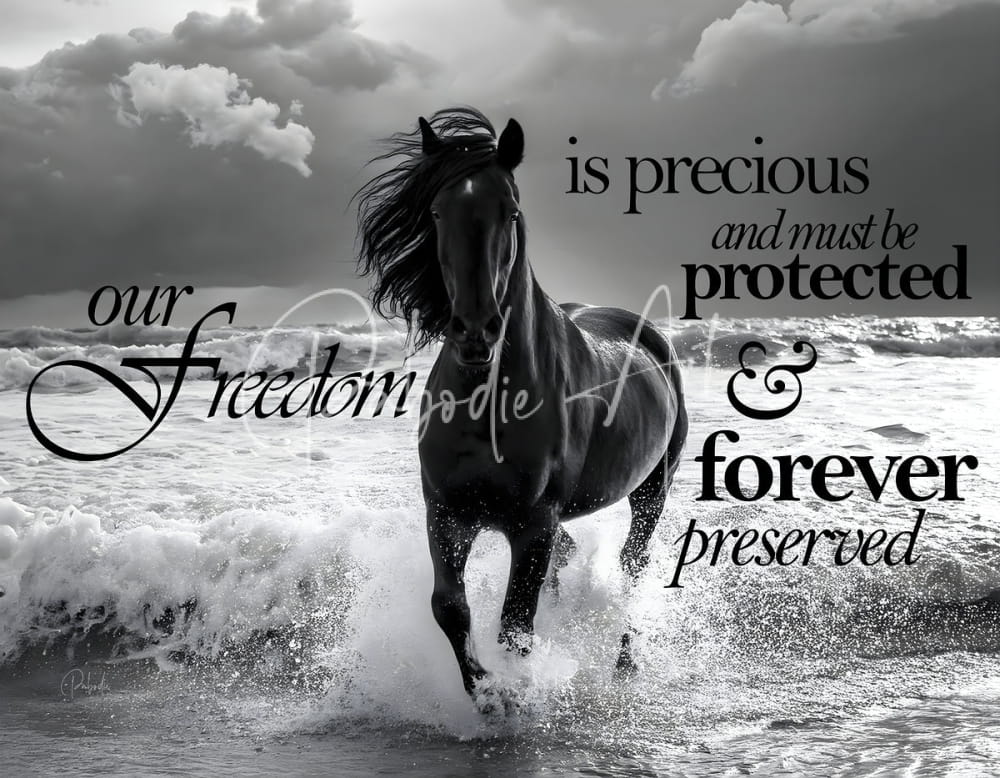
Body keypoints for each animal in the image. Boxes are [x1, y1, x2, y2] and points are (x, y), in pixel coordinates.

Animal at [356, 107, 688, 699]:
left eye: (509, 211)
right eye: (436, 211)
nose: (476, 331)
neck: (486, 407)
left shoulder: (532, 523)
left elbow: (515, 626)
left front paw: (513, 697)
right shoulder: (446, 513)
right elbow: (450, 608)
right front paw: (485, 691)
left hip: (653, 488)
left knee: (633, 570)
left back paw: (625, 665)